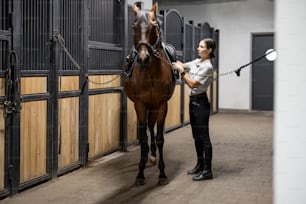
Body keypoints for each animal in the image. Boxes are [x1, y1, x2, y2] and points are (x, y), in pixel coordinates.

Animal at [122, 2, 175, 186]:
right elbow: (143, 138)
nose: (143, 59)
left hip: (153, 107)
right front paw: (140, 174)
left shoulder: (161, 105)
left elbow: (159, 138)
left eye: (154, 26)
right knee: (144, 129)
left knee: (151, 127)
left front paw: (162, 173)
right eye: (134, 27)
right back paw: (146, 158)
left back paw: (151, 156)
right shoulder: (140, 105)